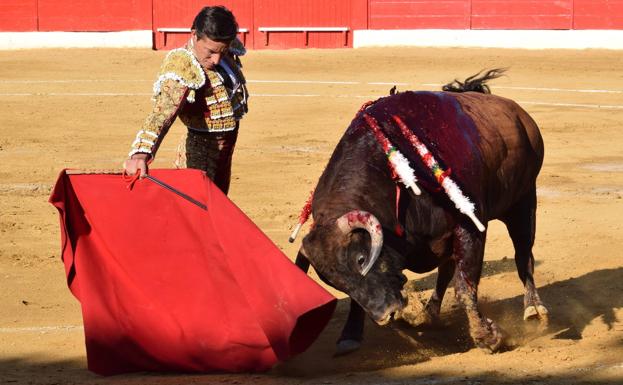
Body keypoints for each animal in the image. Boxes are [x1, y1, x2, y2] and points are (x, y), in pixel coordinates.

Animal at [292, 70, 544, 354]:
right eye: (334, 283)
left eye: (361, 259)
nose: (385, 315)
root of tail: (519, 114)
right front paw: (351, 334)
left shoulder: (469, 227)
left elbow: (465, 287)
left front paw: (487, 337)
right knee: (445, 272)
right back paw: (429, 313)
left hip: (523, 202)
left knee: (523, 256)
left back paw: (533, 308)